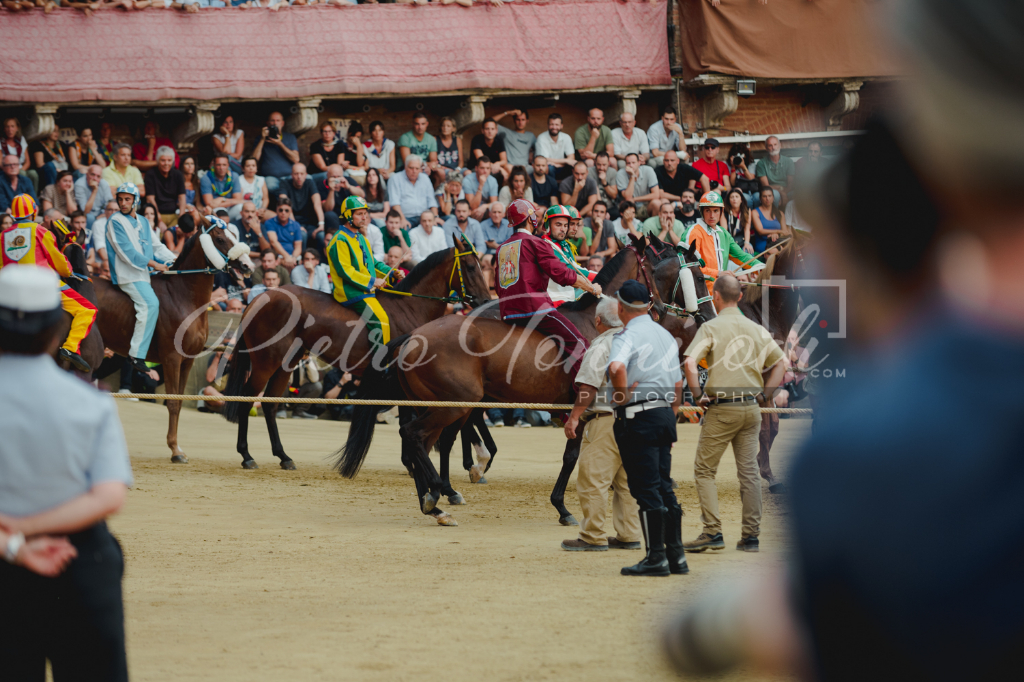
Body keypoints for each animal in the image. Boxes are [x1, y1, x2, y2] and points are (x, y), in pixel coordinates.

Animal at [96, 223, 253, 462]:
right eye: (219, 238)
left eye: (234, 235)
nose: (247, 264)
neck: (183, 297)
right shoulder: (172, 358)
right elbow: (170, 402)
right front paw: (175, 451)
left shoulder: (187, 361)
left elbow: (178, 401)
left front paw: (176, 448)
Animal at [218, 237, 489, 466]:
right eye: (470, 266)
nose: (486, 301)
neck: (411, 307)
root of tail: (262, 297)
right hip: (266, 361)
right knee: (247, 400)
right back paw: (246, 455)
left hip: (286, 363)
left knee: (270, 405)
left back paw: (283, 456)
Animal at [333, 235, 712, 524]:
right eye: (698, 277)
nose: (706, 315)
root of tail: (413, 336)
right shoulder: (583, 408)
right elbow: (573, 456)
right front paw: (562, 507)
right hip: (452, 404)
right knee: (416, 436)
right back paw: (437, 494)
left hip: (440, 405)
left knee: (421, 443)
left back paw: (433, 497)